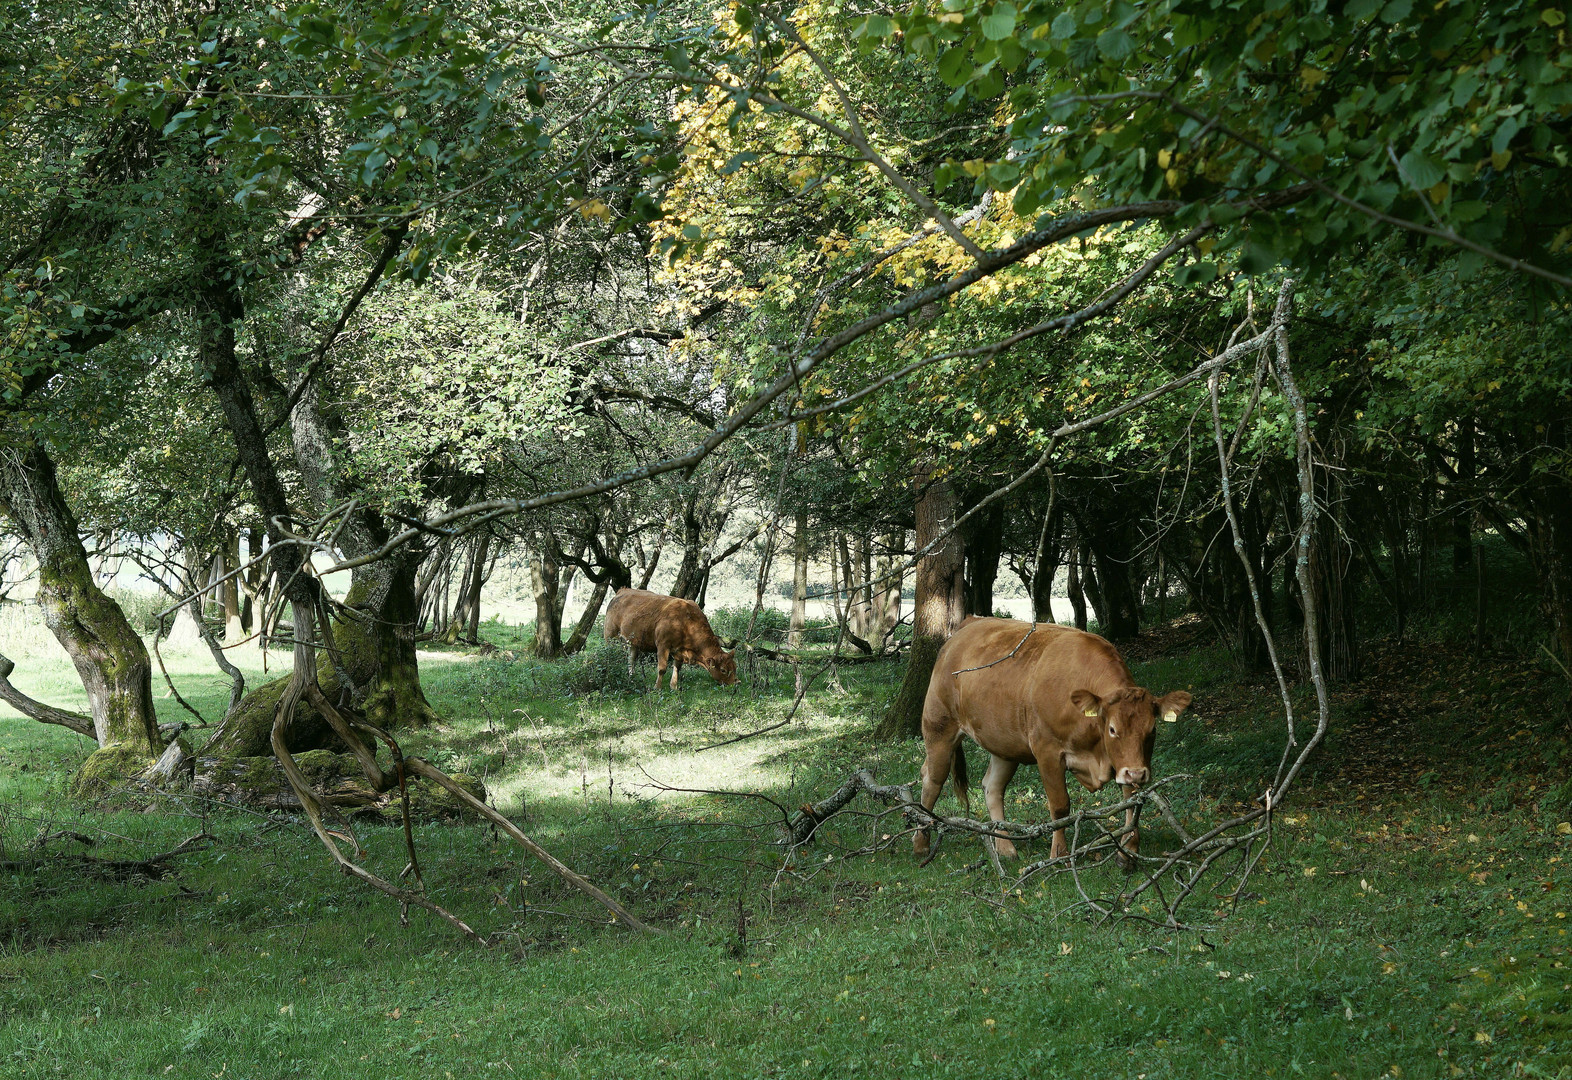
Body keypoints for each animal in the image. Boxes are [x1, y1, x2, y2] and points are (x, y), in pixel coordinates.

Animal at [600, 591, 735, 691]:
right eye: (723, 670)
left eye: (735, 667)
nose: (736, 682)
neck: (686, 620)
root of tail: (622, 591)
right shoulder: (663, 645)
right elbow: (662, 668)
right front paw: (657, 688)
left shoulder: (679, 650)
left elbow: (677, 668)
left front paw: (673, 687)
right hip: (610, 636)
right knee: (608, 656)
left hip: (633, 643)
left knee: (631, 660)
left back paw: (632, 678)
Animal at [918, 622, 1182, 867]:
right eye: (1112, 729)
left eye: (1152, 729)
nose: (1138, 773)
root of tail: (967, 626)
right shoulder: (1048, 751)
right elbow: (1060, 806)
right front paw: (1059, 854)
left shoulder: (1123, 762)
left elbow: (1131, 802)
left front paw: (1128, 853)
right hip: (939, 727)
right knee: (932, 780)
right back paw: (921, 842)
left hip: (1004, 745)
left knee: (992, 786)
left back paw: (1005, 847)